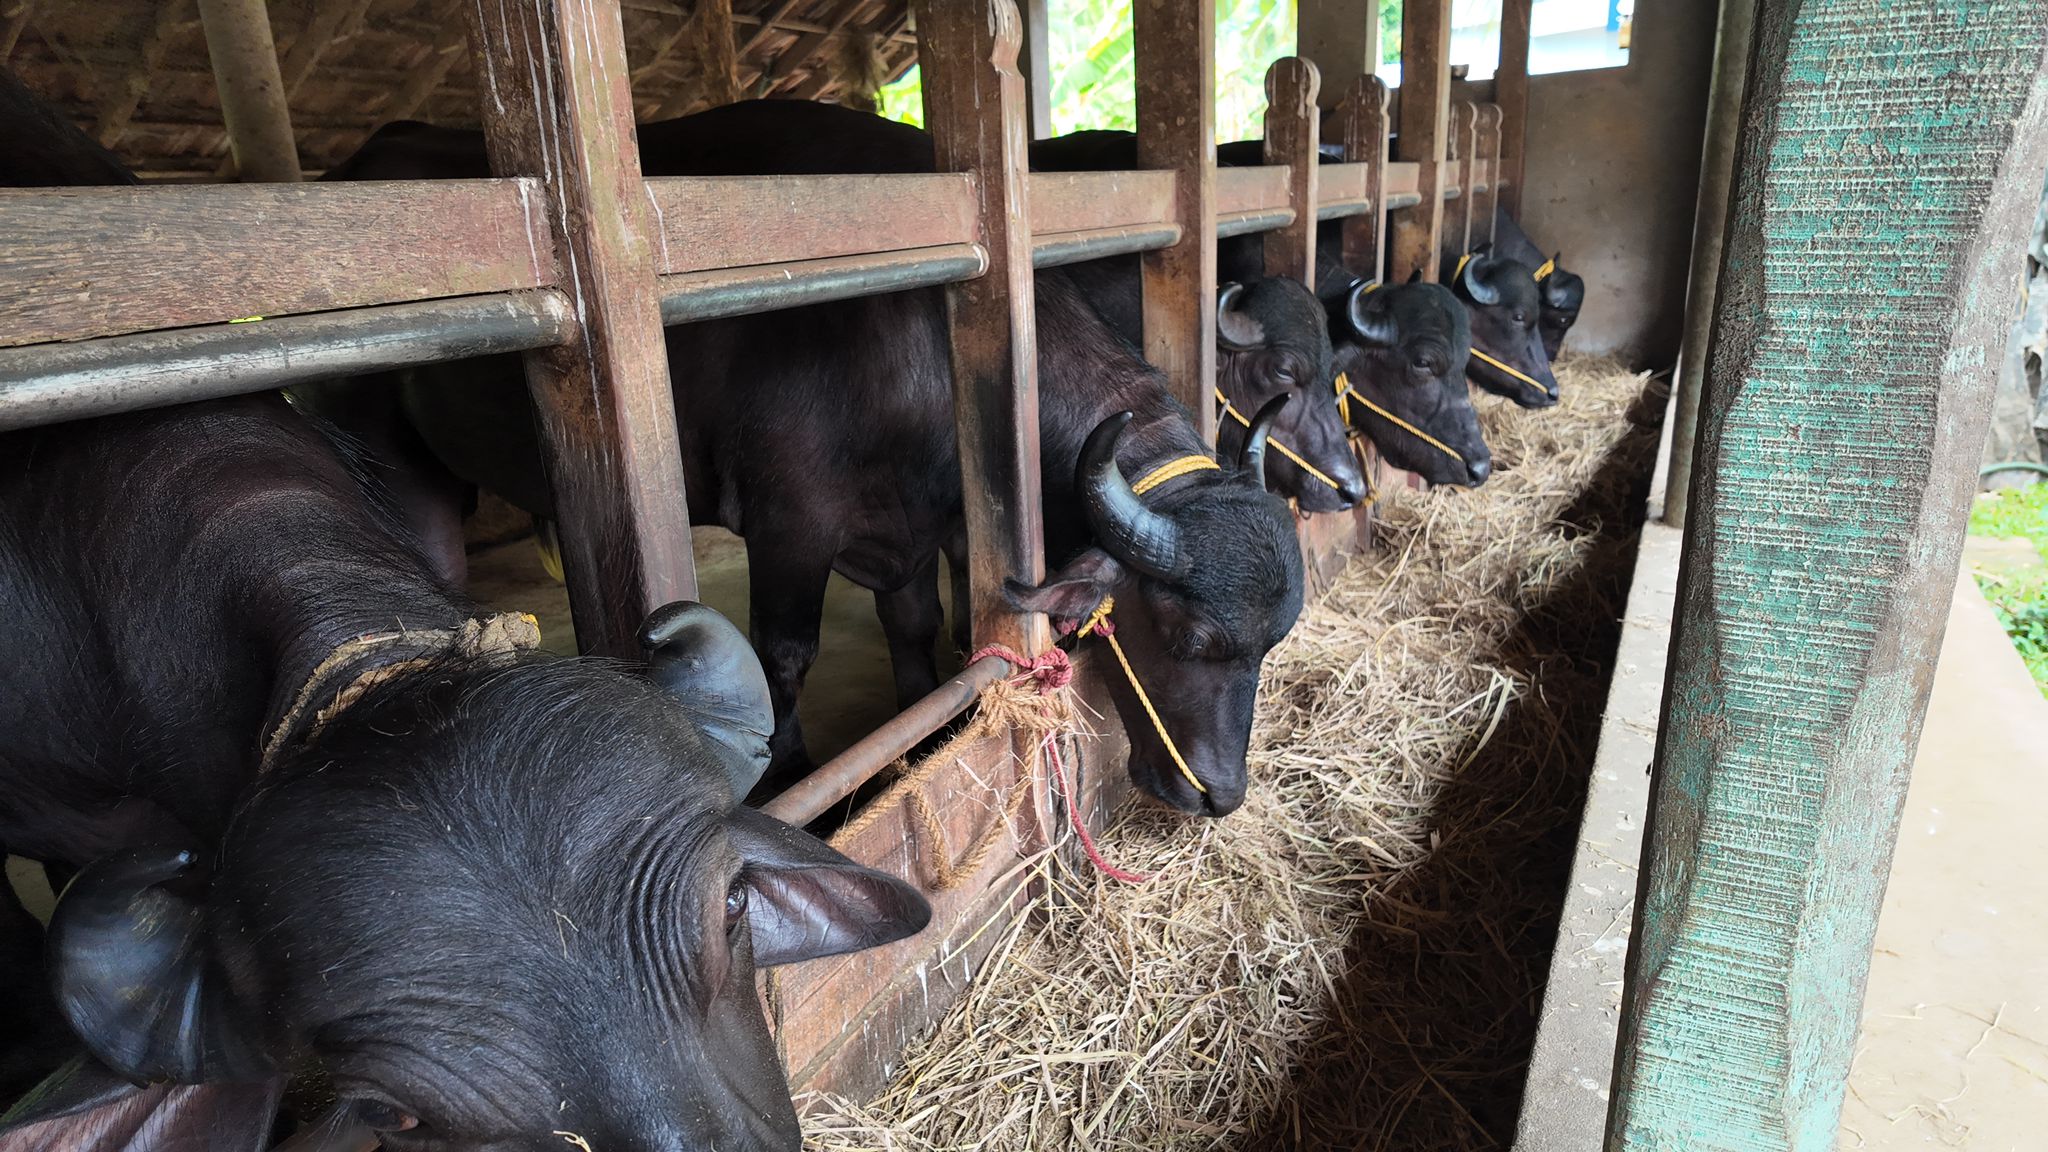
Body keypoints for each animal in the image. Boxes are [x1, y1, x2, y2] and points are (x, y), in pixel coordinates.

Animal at [325, 103, 1302, 811]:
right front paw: (796, 776)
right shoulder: (790, 526)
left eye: (1272, 641)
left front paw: (914, 730)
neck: (917, 345)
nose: (1219, 796)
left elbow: (912, 630)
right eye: (1189, 637)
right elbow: (781, 659)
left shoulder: (910, 529)